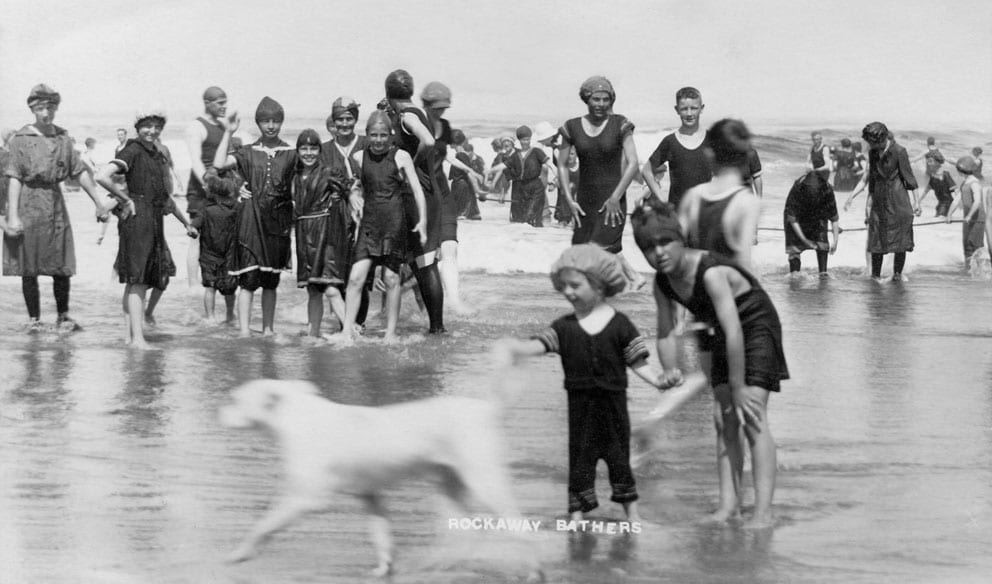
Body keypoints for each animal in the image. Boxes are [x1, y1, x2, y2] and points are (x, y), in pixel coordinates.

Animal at [219, 378, 544, 580]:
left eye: (236, 399)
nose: (219, 413)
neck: (297, 416)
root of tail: (488, 409)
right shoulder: (369, 494)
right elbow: (381, 536)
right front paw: (383, 569)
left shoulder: (305, 498)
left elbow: (263, 526)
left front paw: (239, 554)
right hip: (449, 484)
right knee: (469, 532)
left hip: (484, 481)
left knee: (520, 529)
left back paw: (533, 572)